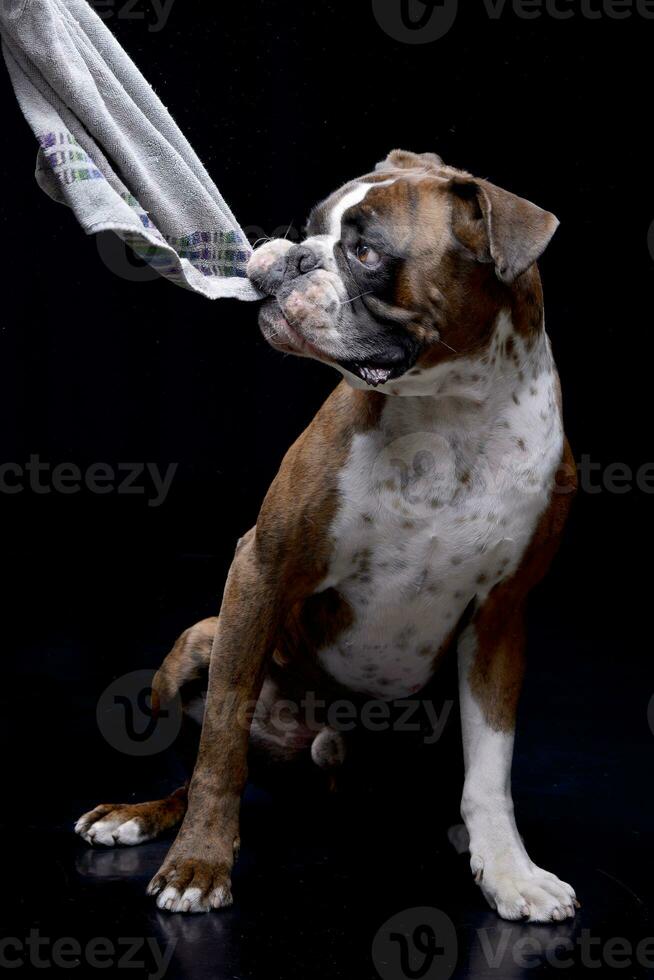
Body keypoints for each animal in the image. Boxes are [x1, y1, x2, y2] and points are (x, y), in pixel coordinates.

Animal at [75, 149, 580, 924]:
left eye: (366, 253)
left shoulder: (501, 619)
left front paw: (508, 871)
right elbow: (221, 741)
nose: (291, 257)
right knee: (196, 765)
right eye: (314, 226)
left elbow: (491, 773)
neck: (446, 412)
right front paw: (199, 865)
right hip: (199, 638)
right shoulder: (261, 569)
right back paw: (141, 816)